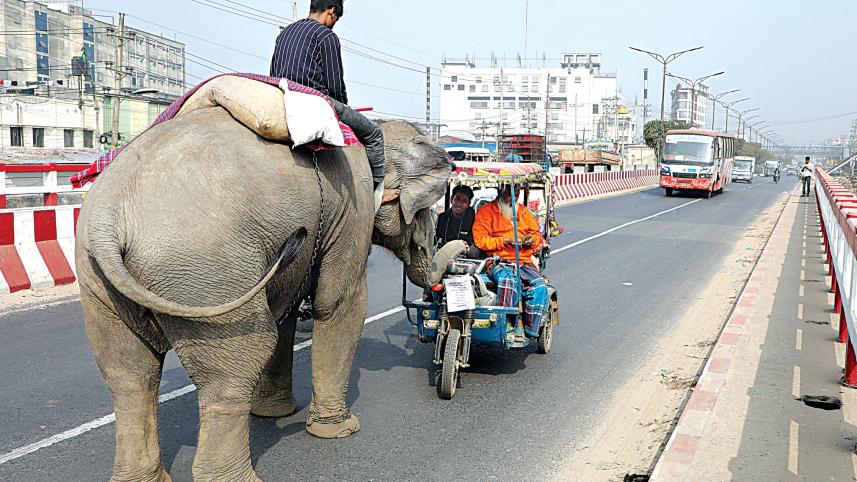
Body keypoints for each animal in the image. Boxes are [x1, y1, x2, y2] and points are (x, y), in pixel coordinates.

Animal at [75, 106, 453, 482]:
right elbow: (339, 304)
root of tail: (108, 217)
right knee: (238, 362)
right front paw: (339, 430)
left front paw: (273, 413)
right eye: (428, 207)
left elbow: (284, 309)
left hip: (99, 285)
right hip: (208, 273)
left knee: (129, 374)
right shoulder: (352, 206)